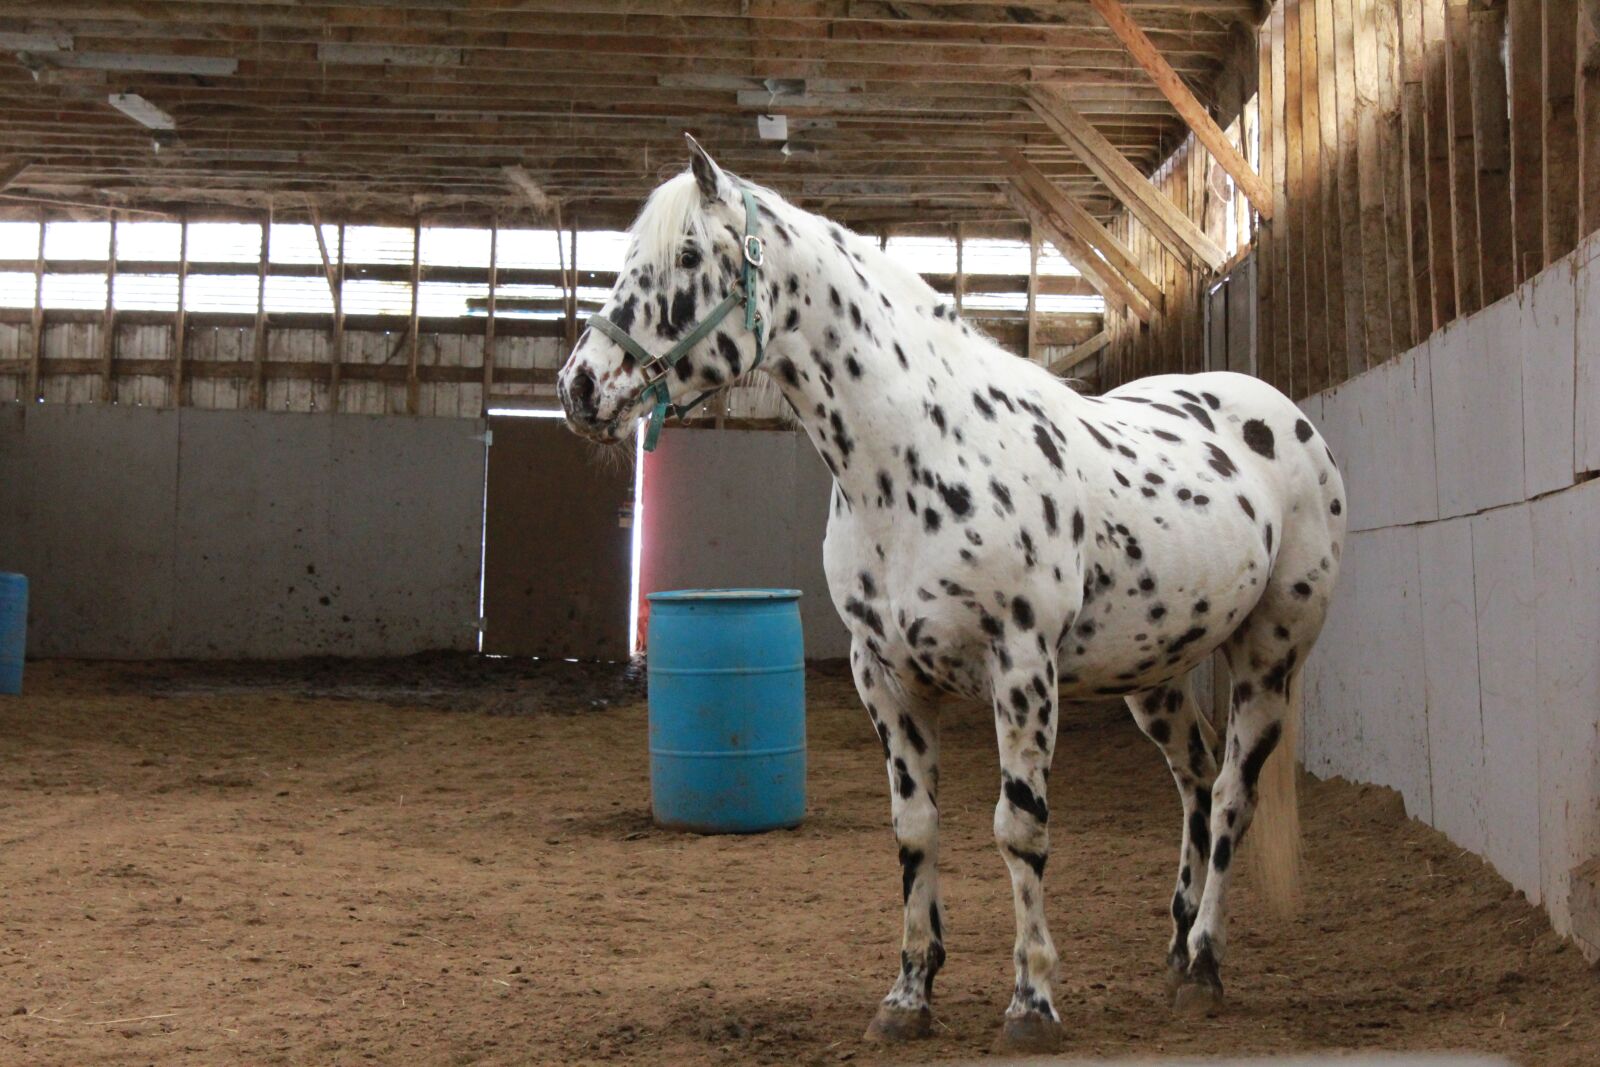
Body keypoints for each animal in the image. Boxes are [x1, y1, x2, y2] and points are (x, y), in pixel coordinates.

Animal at [558, 136, 1346, 1053]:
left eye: (687, 255)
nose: (581, 386)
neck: (915, 454)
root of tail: (1288, 420)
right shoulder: (883, 674)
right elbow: (914, 827)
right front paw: (908, 994)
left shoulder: (1021, 667)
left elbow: (1019, 828)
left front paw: (1032, 1001)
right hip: (1153, 675)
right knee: (1193, 778)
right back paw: (1178, 950)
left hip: (1269, 656)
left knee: (1227, 797)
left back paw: (1207, 965)